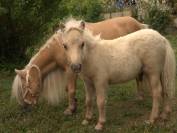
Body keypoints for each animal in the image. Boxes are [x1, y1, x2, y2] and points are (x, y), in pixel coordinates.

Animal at [11, 16, 148, 114]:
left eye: (25, 85)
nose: (26, 104)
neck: (59, 47)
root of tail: (139, 23)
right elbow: (68, 89)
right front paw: (74, 104)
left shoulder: (71, 70)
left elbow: (71, 90)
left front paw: (70, 109)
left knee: (139, 77)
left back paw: (141, 97)